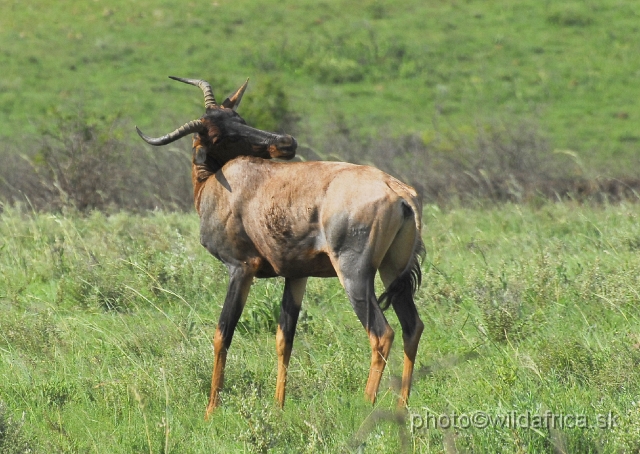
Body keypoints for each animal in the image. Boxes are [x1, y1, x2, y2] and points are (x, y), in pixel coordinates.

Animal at [136, 75, 424, 418]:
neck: (224, 182)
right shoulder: (296, 274)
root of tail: (398, 191)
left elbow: (222, 333)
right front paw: (278, 406)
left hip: (354, 273)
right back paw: (402, 405)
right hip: (392, 271)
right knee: (412, 327)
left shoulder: (241, 268)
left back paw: (365, 405)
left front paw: (210, 410)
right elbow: (284, 338)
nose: (287, 142)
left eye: (239, 119)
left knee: (382, 334)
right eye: (220, 132)